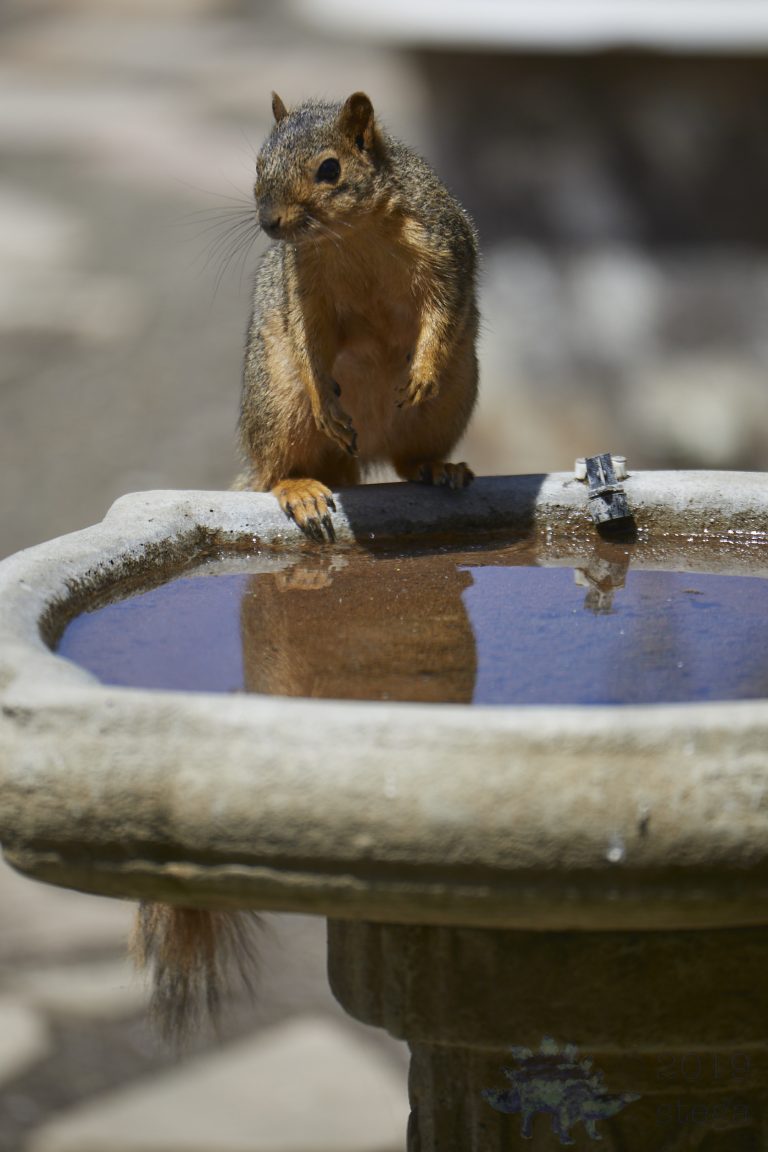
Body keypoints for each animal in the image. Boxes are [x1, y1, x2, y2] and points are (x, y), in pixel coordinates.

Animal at [132, 91, 480, 1043]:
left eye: (329, 169)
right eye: (255, 162)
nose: (268, 222)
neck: (349, 238)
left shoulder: (442, 252)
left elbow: (439, 313)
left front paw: (419, 365)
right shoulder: (306, 298)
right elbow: (319, 341)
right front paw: (334, 401)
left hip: (455, 398)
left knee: (412, 448)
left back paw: (436, 469)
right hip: (279, 400)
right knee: (302, 451)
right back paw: (301, 489)